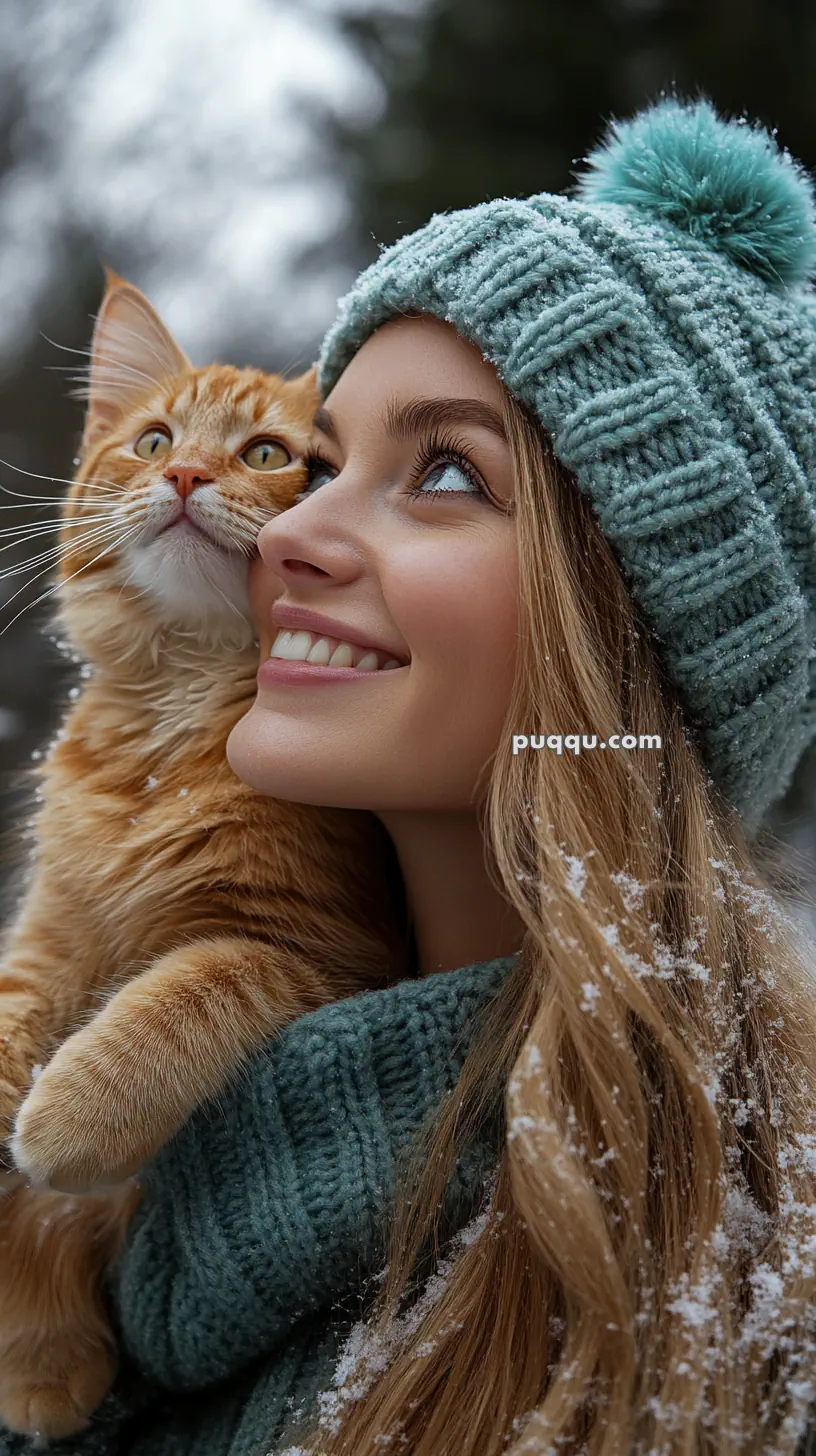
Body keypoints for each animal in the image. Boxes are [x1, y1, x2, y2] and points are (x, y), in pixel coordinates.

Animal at [0, 275, 405, 1444]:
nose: (183, 476)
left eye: (268, 455)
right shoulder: (51, 934)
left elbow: (177, 1000)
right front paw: (41, 1345)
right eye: (153, 441)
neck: (166, 753)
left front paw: (64, 1118)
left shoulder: (318, 951)